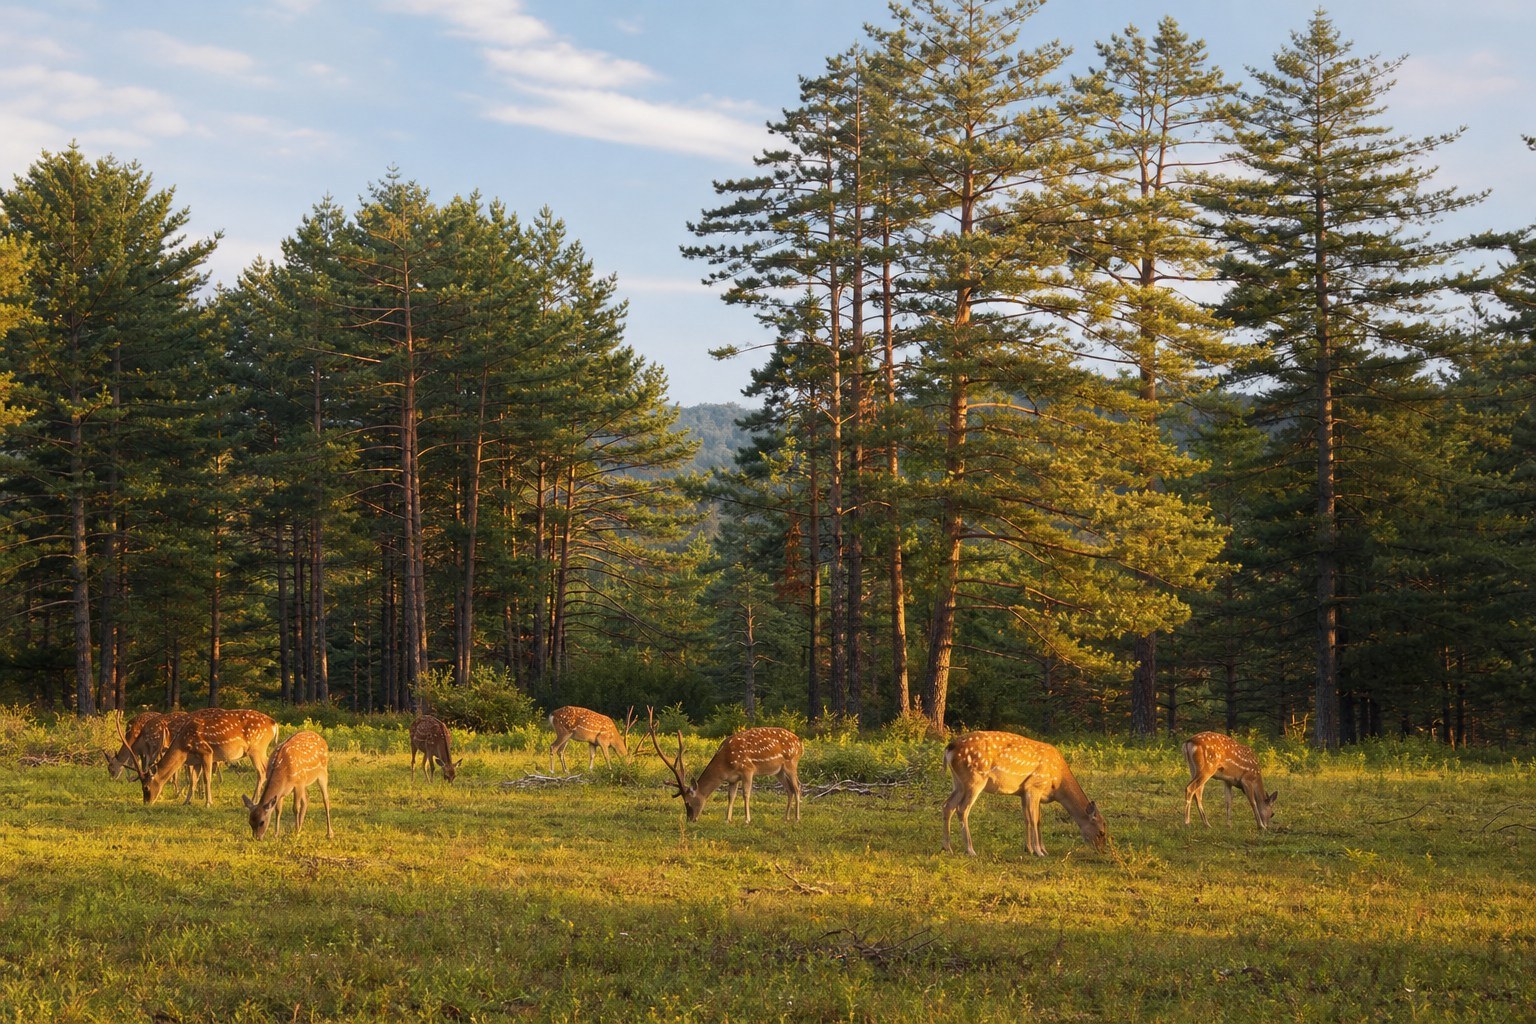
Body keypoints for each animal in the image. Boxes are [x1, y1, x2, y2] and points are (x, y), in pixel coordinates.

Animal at [140, 708, 278, 806]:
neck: (184, 747)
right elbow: (193, 780)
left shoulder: (206, 751)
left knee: (262, 771)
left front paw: (208, 803)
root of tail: (274, 724)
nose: (146, 802)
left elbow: (207, 778)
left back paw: (254, 800)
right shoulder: (196, 760)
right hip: (259, 749)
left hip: (257, 748)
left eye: (146, 787)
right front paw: (186, 802)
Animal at [648, 709, 803, 823]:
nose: (690, 819)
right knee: (789, 789)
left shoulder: (748, 769)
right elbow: (731, 796)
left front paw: (747, 819)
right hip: (778, 771)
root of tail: (799, 743)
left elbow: (746, 794)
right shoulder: (733, 779)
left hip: (791, 763)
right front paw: (727, 819)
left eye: (687, 802)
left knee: (797, 787)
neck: (725, 764)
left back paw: (796, 818)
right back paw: (785, 817)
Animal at [942, 730, 1108, 857]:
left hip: (959, 782)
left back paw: (947, 847)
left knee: (947, 805)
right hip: (975, 779)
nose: (1102, 851)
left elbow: (1031, 819)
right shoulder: (1034, 786)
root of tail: (950, 747)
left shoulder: (1024, 793)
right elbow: (1034, 819)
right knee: (962, 809)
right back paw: (970, 850)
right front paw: (1039, 851)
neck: (1058, 784)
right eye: (1101, 832)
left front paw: (1031, 849)